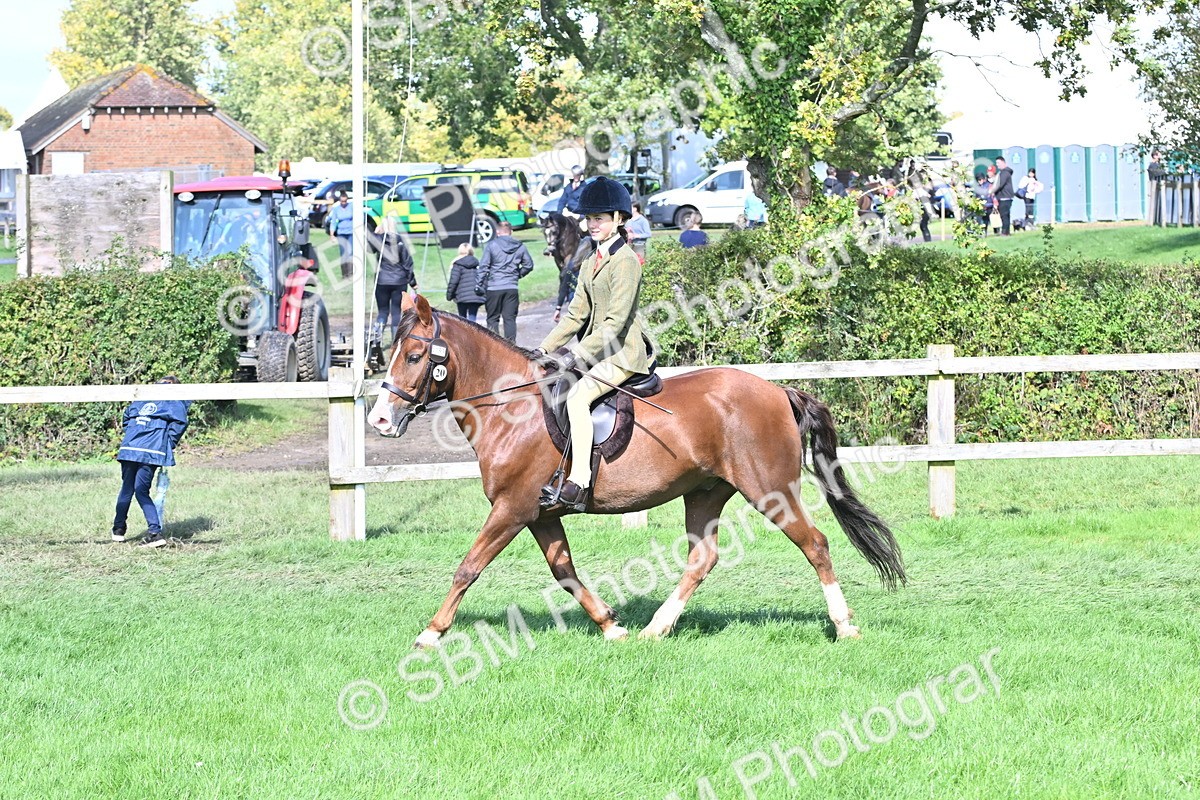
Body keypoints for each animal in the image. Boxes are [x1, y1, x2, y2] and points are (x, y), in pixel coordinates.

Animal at [368, 295, 906, 648]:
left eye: (414, 356)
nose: (379, 421)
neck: (511, 407)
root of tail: (779, 390)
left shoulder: (512, 508)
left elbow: (468, 566)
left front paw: (430, 633)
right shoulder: (540, 513)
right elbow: (564, 569)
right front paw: (612, 626)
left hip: (769, 489)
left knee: (815, 544)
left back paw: (844, 626)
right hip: (706, 492)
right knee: (702, 558)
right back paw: (655, 628)